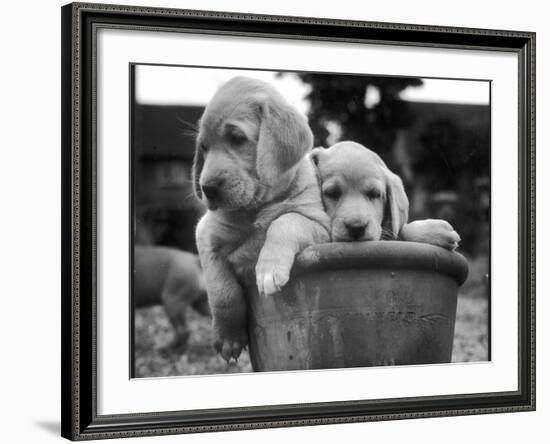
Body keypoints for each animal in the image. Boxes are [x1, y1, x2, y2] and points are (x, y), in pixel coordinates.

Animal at [194, 75, 332, 360]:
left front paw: (268, 269)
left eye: (236, 138)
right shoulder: (204, 234)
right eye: (204, 147)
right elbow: (220, 291)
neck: (255, 207)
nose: (207, 188)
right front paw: (228, 336)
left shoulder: (318, 223)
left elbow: (284, 221)